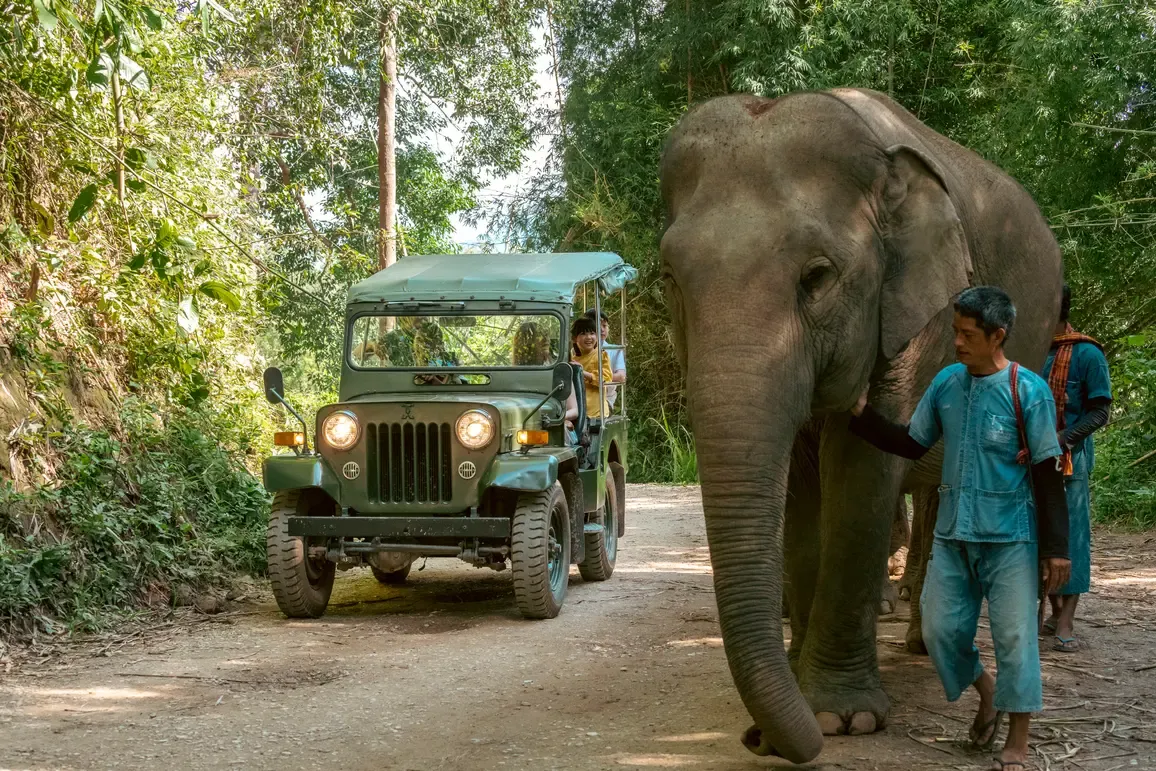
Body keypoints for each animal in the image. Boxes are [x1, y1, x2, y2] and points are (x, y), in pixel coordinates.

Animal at [659, 88, 1062, 763]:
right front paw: (797, 693)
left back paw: (926, 645)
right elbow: (800, 488)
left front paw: (840, 719)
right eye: (669, 282)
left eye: (817, 277)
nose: (755, 738)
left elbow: (864, 470)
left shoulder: (919, 317)